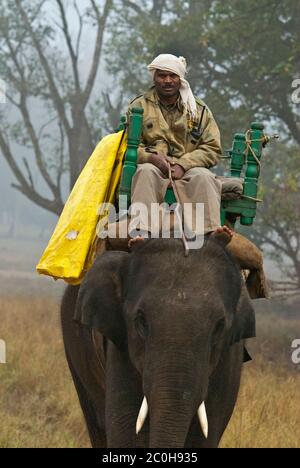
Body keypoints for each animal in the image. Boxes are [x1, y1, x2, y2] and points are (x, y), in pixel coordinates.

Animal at [61, 232, 255, 448]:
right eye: (141, 321)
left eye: (220, 326)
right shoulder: (121, 346)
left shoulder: (229, 358)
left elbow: (204, 435)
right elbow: (126, 434)